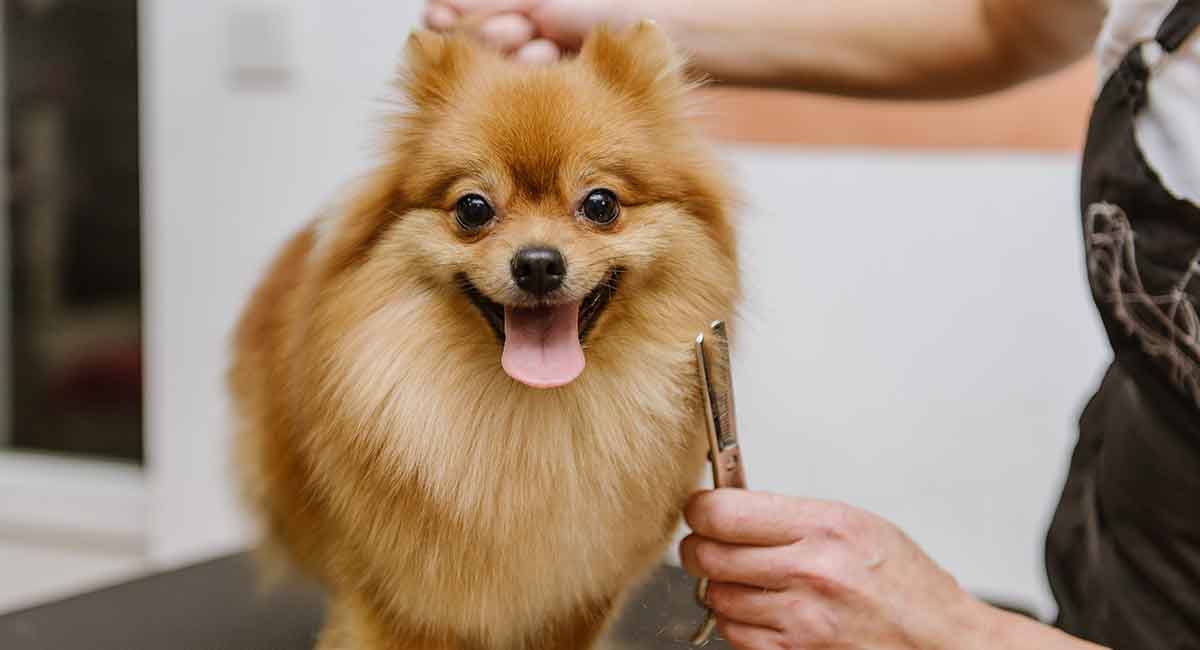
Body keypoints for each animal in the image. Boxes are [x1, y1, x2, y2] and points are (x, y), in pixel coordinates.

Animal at [231, 21, 739, 650]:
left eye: (601, 204)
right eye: (473, 208)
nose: (538, 263)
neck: (532, 423)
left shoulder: (578, 599)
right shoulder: (397, 603)